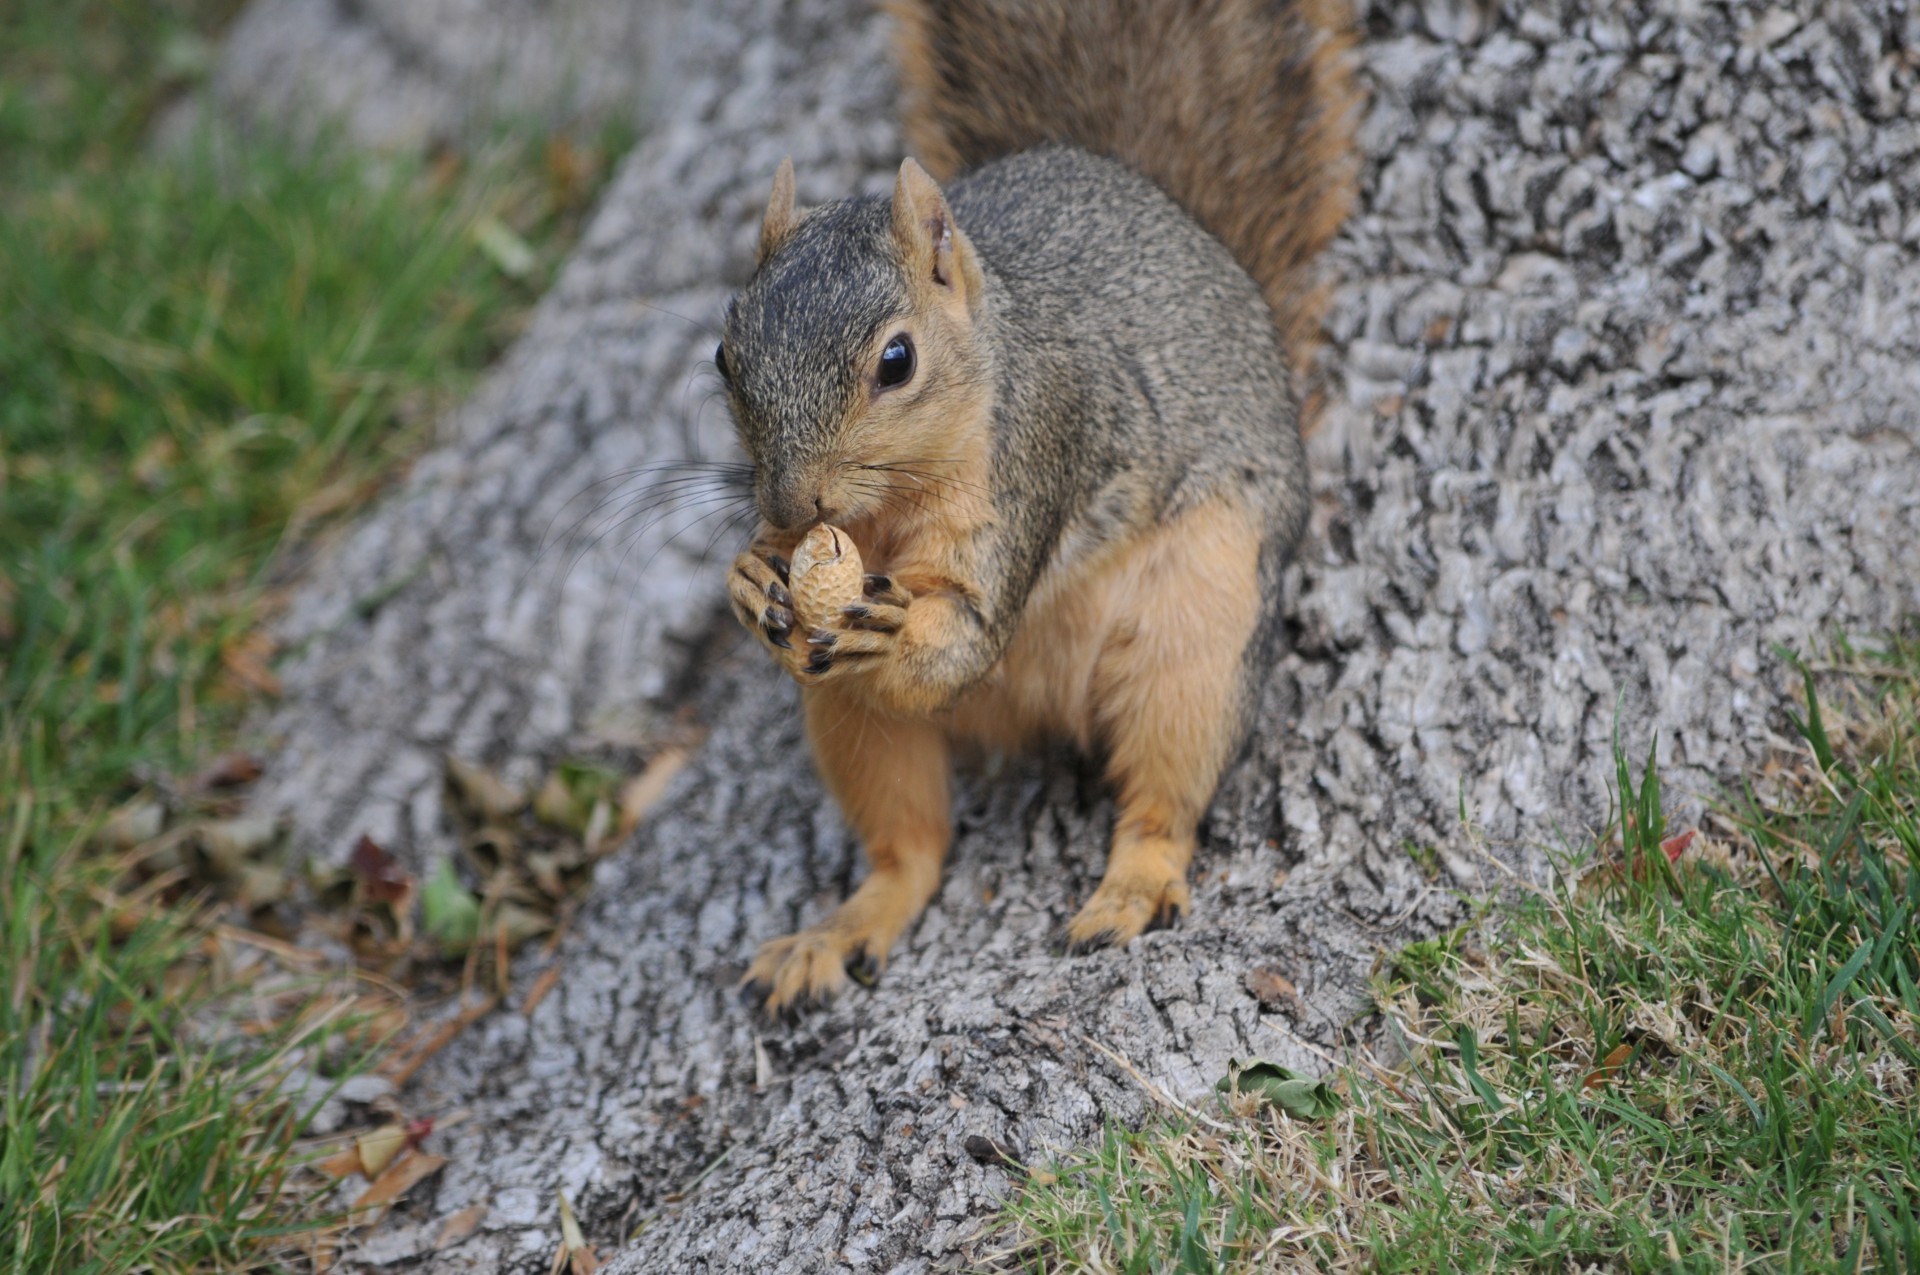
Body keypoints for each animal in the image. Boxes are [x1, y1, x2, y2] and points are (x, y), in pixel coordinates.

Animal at [721, 0, 1367, 1013]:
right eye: (723, 357)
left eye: (897, 361)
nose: (790, 504)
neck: (889, 509)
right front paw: (751, 577)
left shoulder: (1040, 450)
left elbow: (969, 631)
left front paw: (898, 633)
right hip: (847, 720)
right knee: (910, 848)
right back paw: (840, 929)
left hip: (1205, 624)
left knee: (1166, 792)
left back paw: (1132, 888)